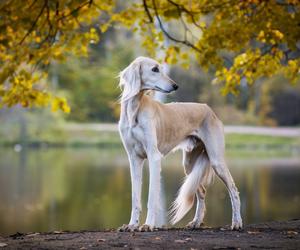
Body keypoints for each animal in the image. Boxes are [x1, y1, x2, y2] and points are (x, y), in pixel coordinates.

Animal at [118, 56, 243, 232]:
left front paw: (148, 225)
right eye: (155, 69)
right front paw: (132, 224)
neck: (134, 109)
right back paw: (196, 222)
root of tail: (209, 109)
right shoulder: (134, 159)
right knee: (201, 191)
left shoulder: (154, 157)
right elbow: (135, 198)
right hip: (189, 164)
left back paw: (237, 222)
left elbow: (151, 197)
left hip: (216, 160)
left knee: (233, 189)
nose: (175, 86)